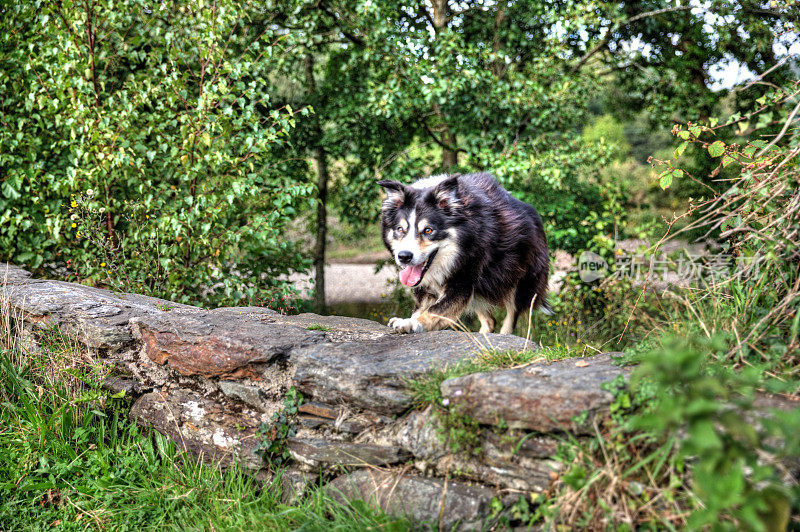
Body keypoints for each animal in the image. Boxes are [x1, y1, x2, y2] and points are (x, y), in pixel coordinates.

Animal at [380, 172, 552, 334]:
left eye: (428, 230)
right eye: (400, 229)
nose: (404, 257)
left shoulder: (464, 277)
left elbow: (436, 309)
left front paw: (412, 323)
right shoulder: (426, 285)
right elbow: (421, 307)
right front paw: (409, 320)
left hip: (519, 279)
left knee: (511, 317)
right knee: (490, 321)